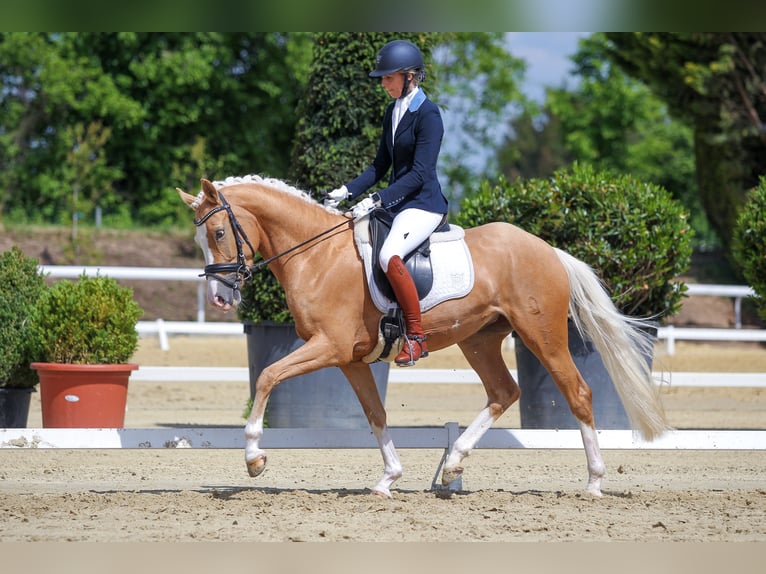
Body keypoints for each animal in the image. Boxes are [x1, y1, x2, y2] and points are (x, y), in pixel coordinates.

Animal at [177, 174, 669, 498]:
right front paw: (388, 479)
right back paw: (452, 466)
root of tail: (547, 249)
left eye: (219, 232)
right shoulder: (348, 358)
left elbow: (266, 376)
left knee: (578, 392)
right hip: (479, 339)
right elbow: (374, 413)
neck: (318, 255)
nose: (220, 297)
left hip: (541, 335)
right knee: (503, 392)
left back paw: (594, 481)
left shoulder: (328, 347)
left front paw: (254, 458)